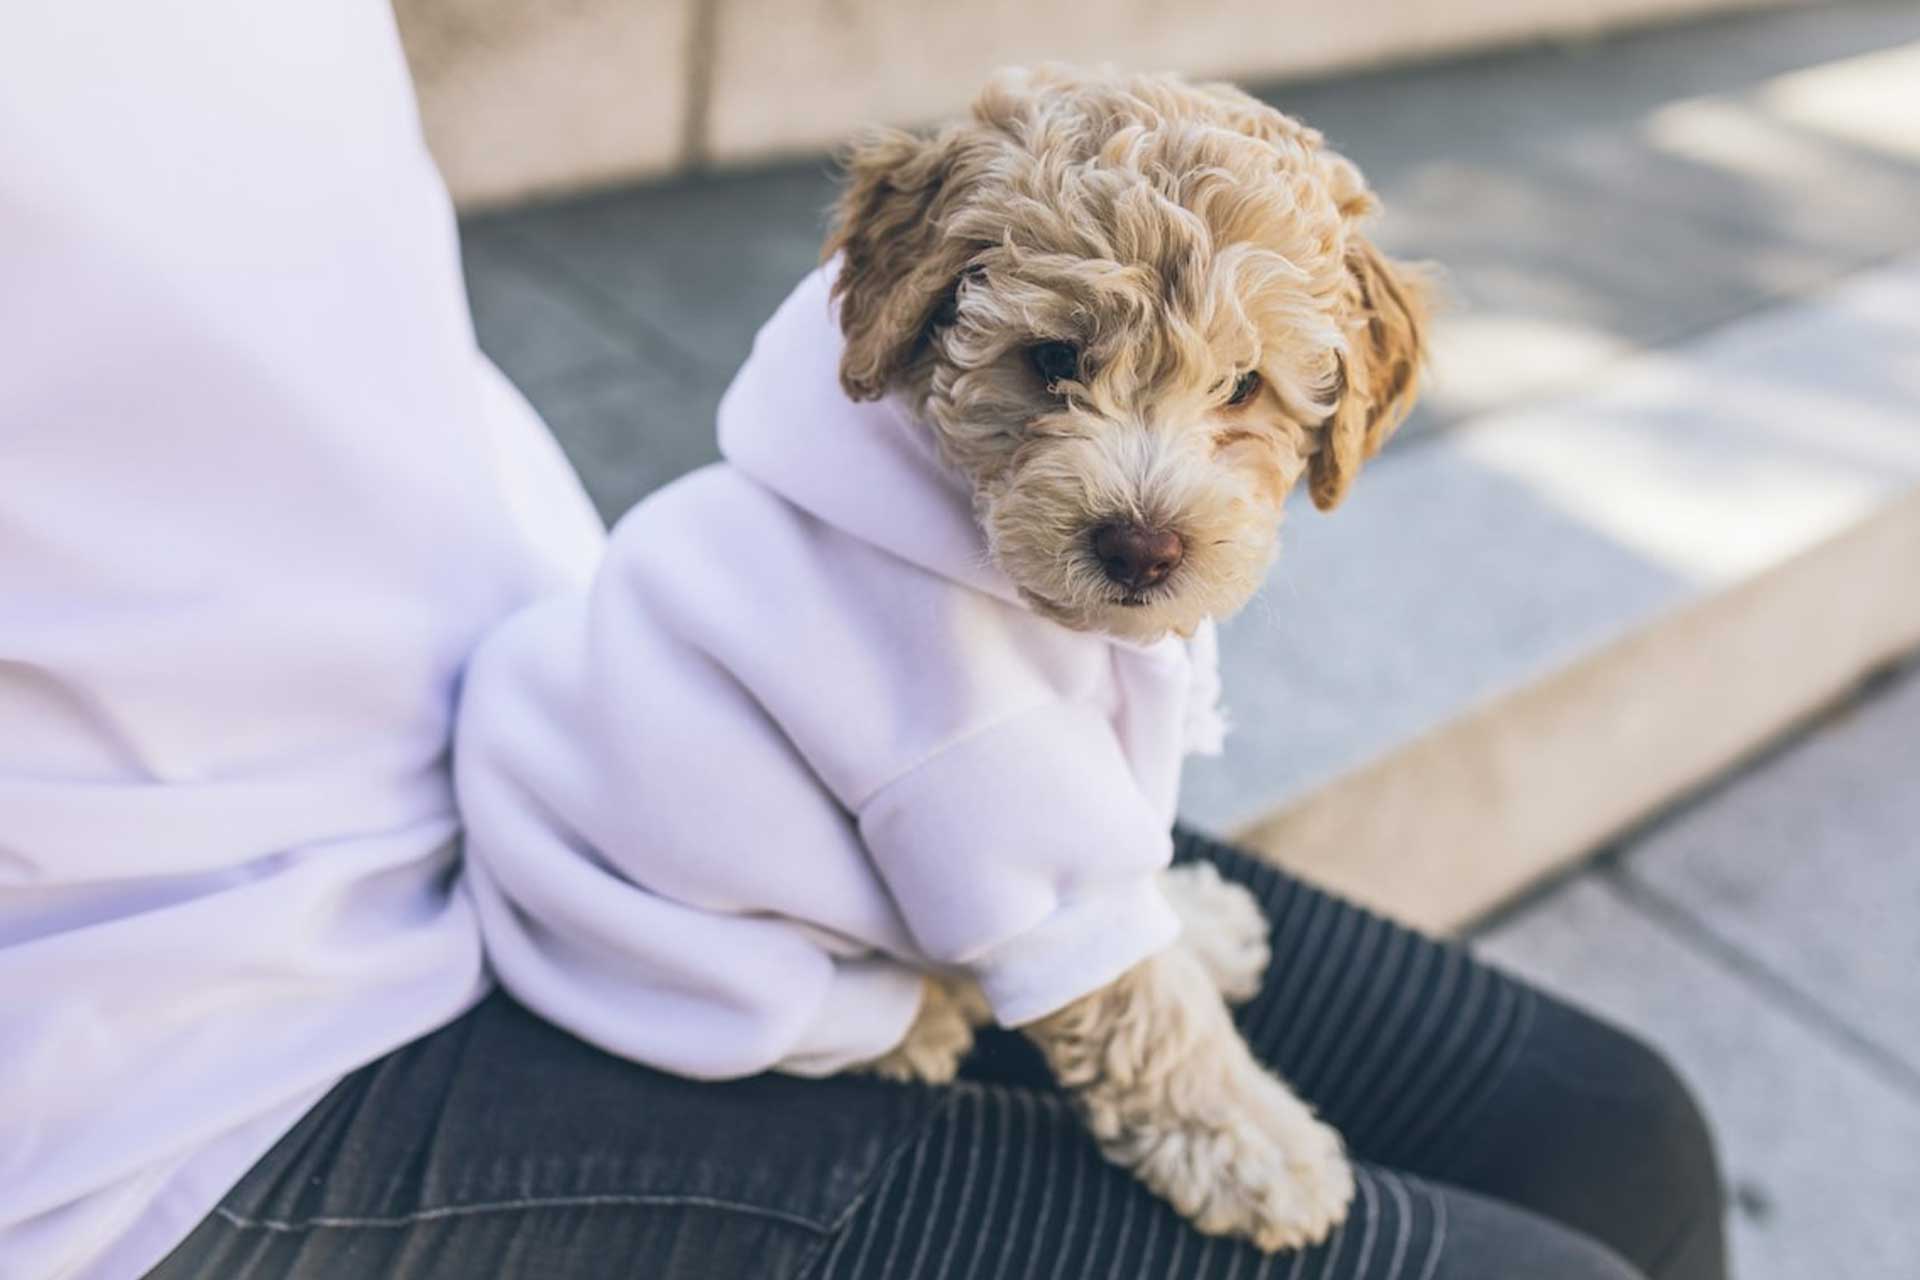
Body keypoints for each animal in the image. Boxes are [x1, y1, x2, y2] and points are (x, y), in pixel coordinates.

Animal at [456, 65, 1428, 1258]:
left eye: (1243, 385)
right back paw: (932, 1009)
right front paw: (1257, 1143)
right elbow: (1137, 1000)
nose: (1142, 546)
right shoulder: (981, 783)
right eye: (1053, 360)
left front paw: (1198, 922)